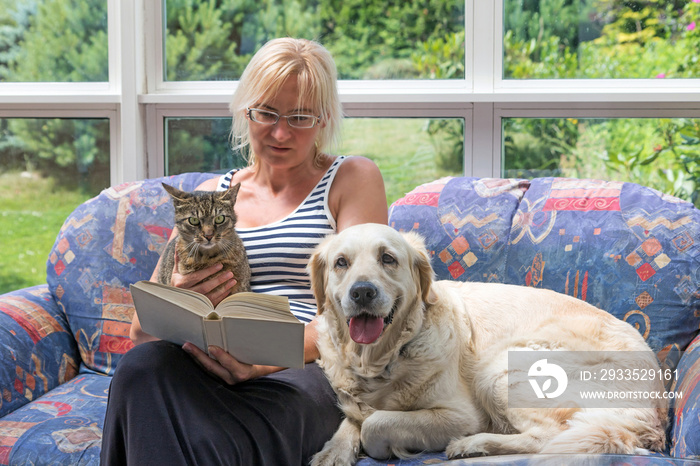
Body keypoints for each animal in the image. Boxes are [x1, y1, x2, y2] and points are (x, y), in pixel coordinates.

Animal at [308, 224, 668, 464]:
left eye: (387, 258)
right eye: (341, 262)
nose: (362, 292)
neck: (383, 357)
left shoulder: (461, 415)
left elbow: (375, 422)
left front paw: (388, 447)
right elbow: (355, 416)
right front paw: (334, 451)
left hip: (501, 370)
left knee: (547, 437)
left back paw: (472, 445)